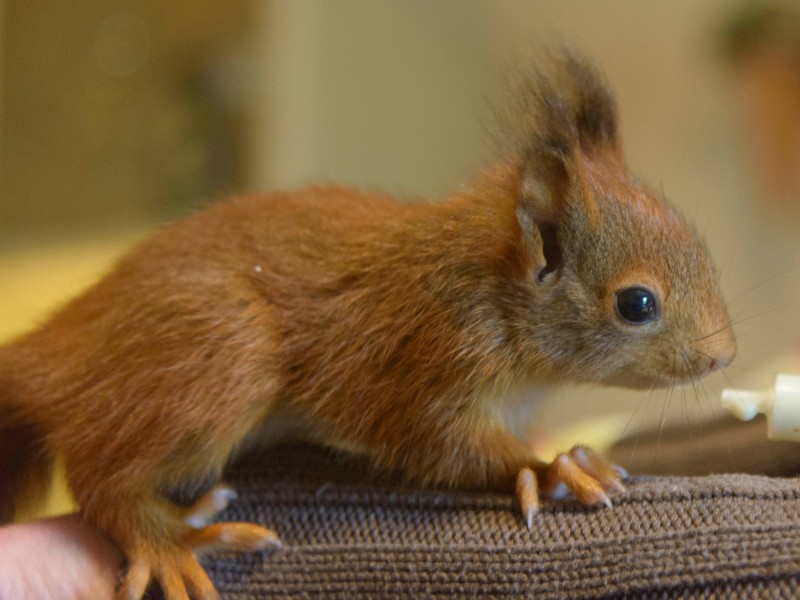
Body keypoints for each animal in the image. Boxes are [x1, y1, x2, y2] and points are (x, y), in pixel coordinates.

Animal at [0, 52, 736, 600]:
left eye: (703, 247)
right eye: (636, 304)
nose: (723, 357)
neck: (494, 292)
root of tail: (51, 352)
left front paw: (566, 452)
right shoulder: (428, 357)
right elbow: (435, 443)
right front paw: (553, 466)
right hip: (221, 353)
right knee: (101, 475)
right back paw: (169, 543)